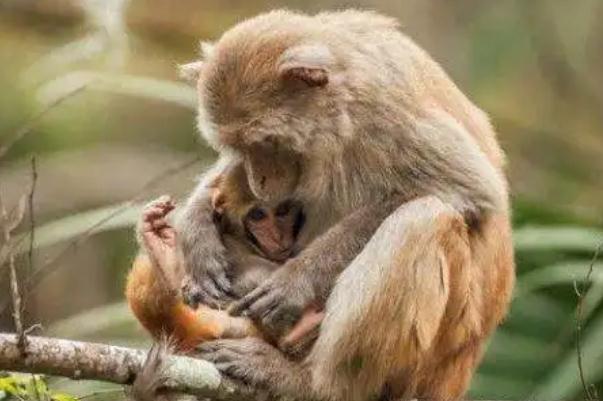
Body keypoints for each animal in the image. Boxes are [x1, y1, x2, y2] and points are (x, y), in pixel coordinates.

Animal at [177, 9, 516, 400]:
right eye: (238, 148)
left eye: (266, 143)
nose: (260, 180)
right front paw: (196, 232)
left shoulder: (386, 116)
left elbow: (472, 190)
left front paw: (295, 281)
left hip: (437, 356)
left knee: (422, 219)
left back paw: (314, 383)